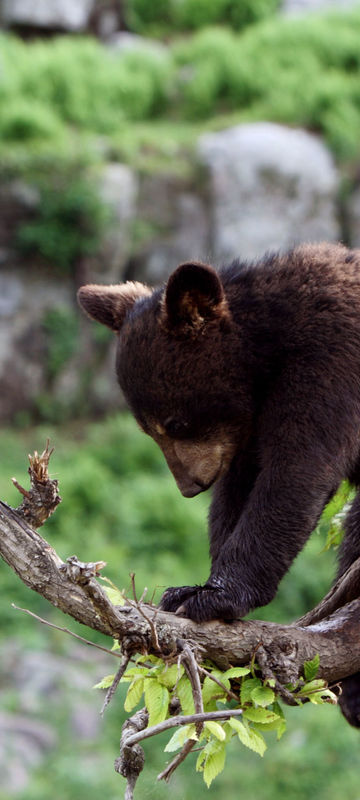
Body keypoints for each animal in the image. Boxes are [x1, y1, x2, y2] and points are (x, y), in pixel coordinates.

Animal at [79, 239, 360, 724]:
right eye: (147, 429)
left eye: (176, 422)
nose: (189, 486)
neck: (269, 348)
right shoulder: (246, 428)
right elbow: (239, 486)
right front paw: (190, 587)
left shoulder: (332, 365)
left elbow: (296, 472)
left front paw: (216, 597)